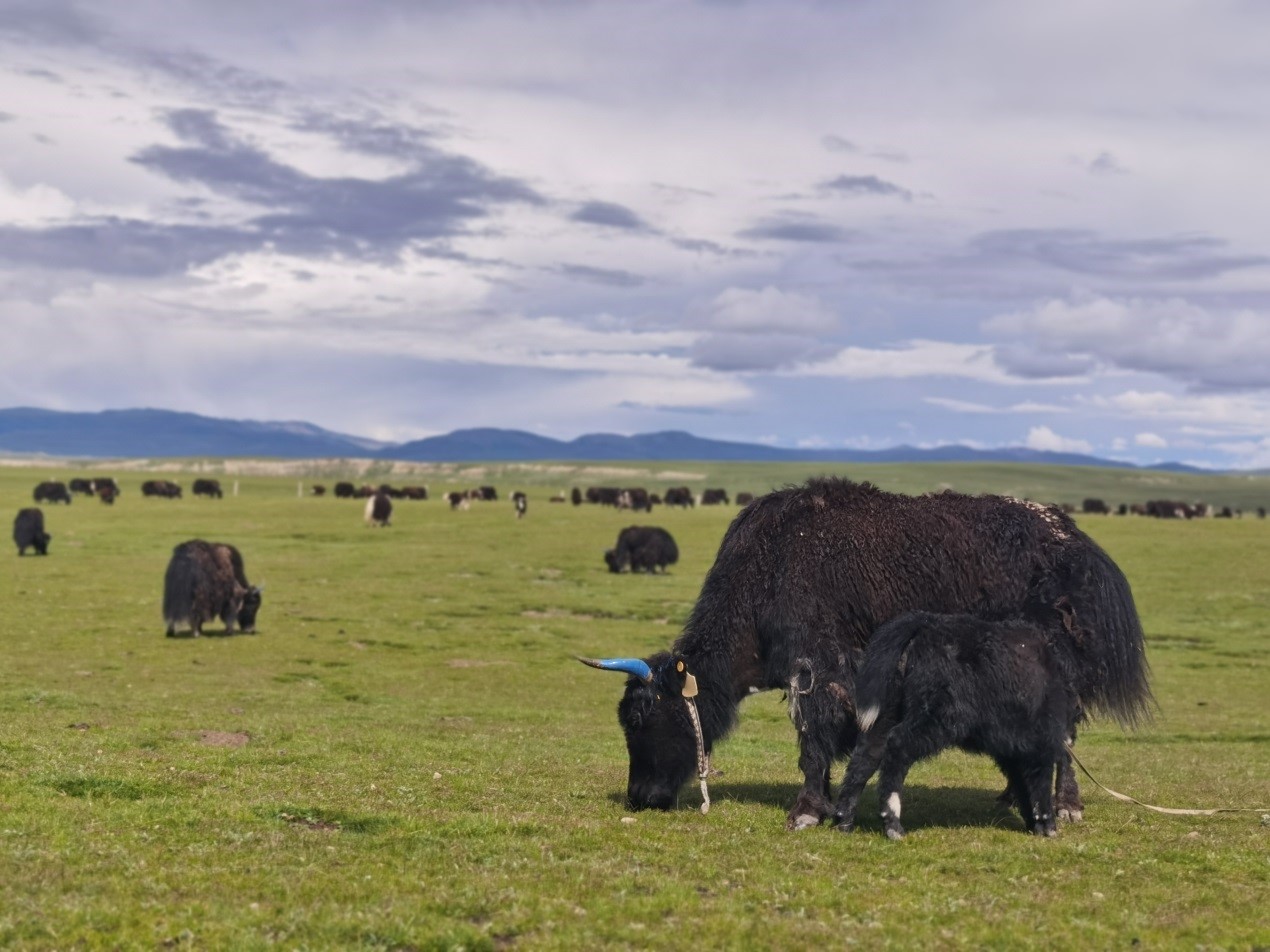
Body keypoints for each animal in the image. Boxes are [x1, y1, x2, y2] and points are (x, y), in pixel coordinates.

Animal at [838, 614, 1076, 837]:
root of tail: (924, 624)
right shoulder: (1040, 739)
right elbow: (1039, 782)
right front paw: (1047, 826)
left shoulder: (1011, 749)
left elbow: (1021, 783)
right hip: (936, 719)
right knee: (897, 746)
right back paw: (893, 824)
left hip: (886, 714)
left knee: (866, 755)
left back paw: (844, 820)